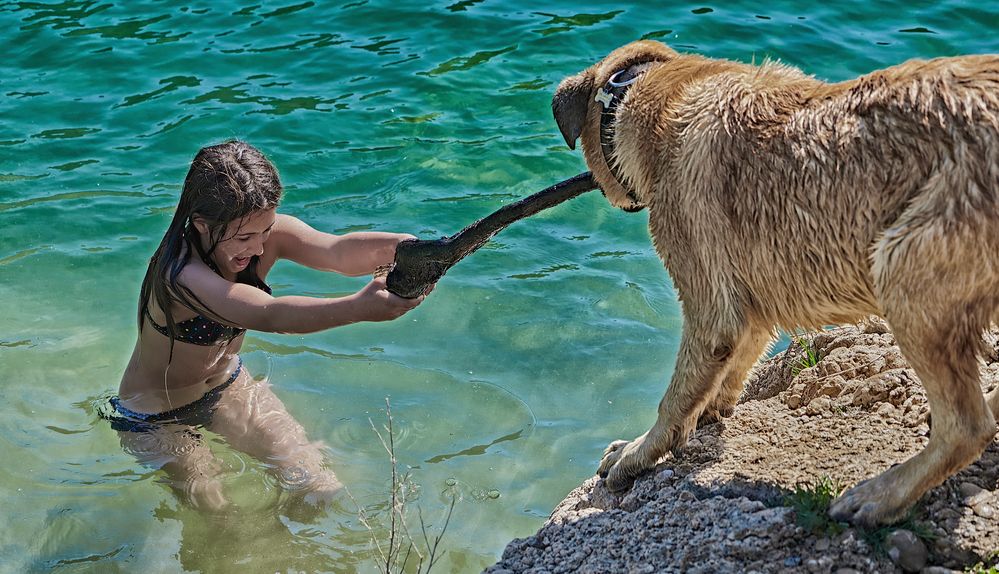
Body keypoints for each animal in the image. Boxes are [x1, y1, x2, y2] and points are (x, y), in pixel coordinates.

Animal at [560, 39, 999, 528]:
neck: (660, 93)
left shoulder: (711, 304)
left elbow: (676, 397)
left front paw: (637, 452)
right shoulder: (751, 302)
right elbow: (733, 364)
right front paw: (711, 408)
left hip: (903, 261)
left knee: (966, 427)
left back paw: (881, 495)